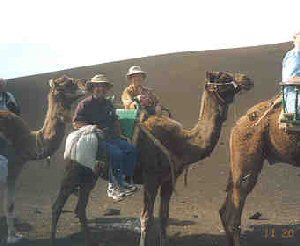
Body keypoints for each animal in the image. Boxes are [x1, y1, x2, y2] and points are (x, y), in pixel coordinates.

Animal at [0, 75, 86, 244]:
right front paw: (12, 238)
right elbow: (10, 205)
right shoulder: (12, 166)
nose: (87, 84)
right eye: (69, 83)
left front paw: (14, 235)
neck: (27, 141)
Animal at [50, 70, 252, 245]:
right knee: (57, 205)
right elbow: (146, 218)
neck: (182, 142)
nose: (247, 79)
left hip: (90, 175)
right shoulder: (151, 178)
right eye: (224, 76)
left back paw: (90, 240)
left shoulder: (168, 180)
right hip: (73, 169)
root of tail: (75, 134)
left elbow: (164, 216)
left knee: (80, 207)